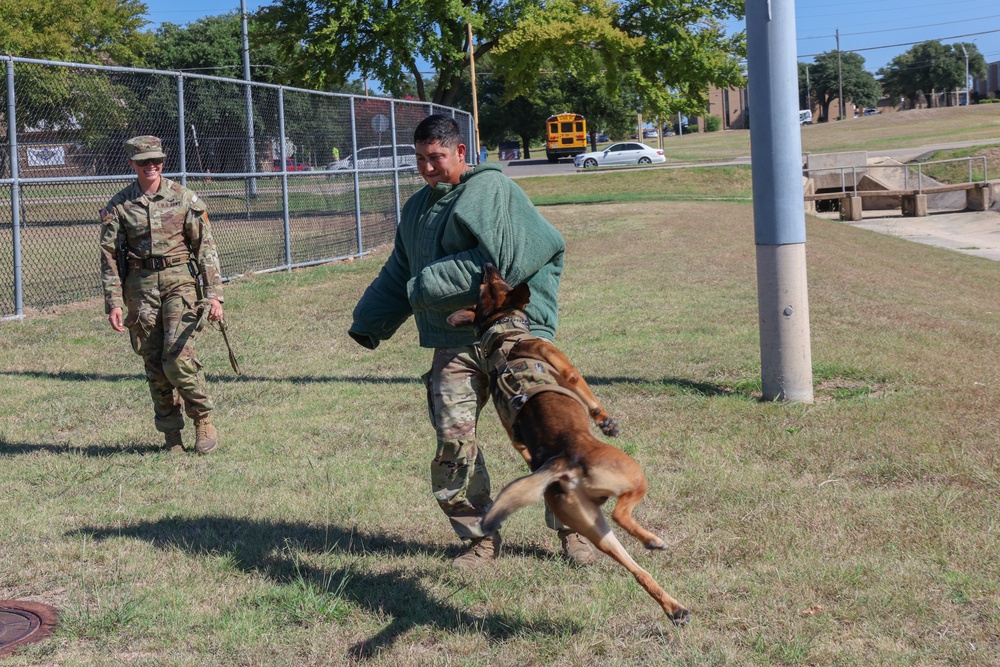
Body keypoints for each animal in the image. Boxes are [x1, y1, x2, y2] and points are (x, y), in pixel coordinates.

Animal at [450, 264, 692, 628]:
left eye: (487, 284)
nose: (488, 266)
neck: (504, 334)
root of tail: (562, 463)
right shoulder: (567, 368)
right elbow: (587, 394)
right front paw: (607, 422)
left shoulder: (510, 427)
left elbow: (520, 443)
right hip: (634, 477)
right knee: (621, 513)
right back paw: (654, 541)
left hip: (594, 528)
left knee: (637, 571)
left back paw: (673, 606)